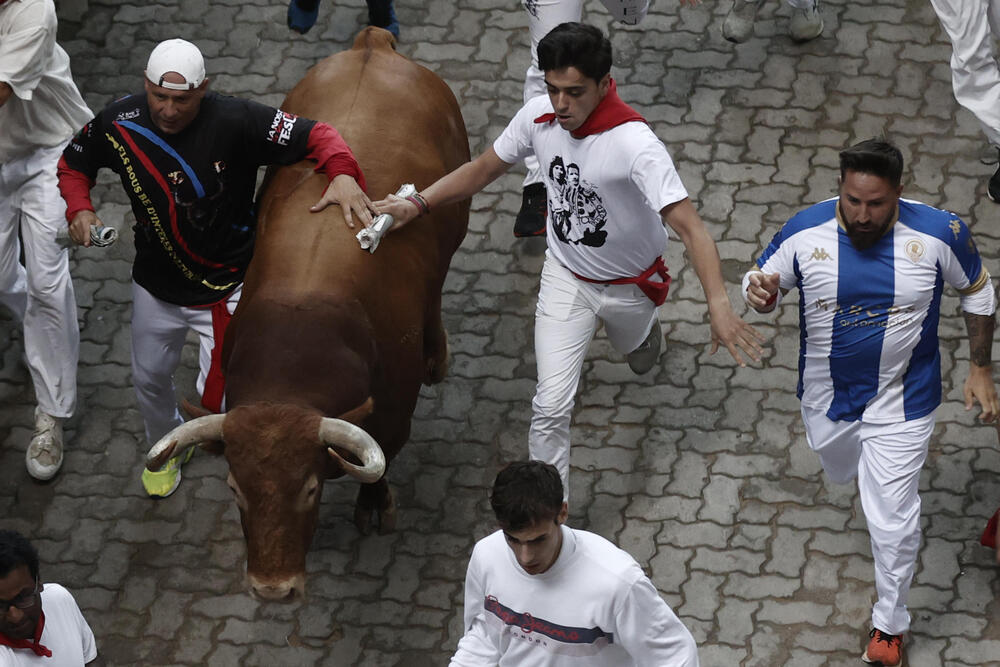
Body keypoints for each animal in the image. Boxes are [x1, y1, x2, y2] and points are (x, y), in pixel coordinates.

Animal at [144, 27, 468, 600]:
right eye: (235, 487)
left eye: (312, 488)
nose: (273, 589)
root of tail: (372, 44)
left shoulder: (393, 418)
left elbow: (380, 465)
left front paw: (375, 507)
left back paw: (437, 355)